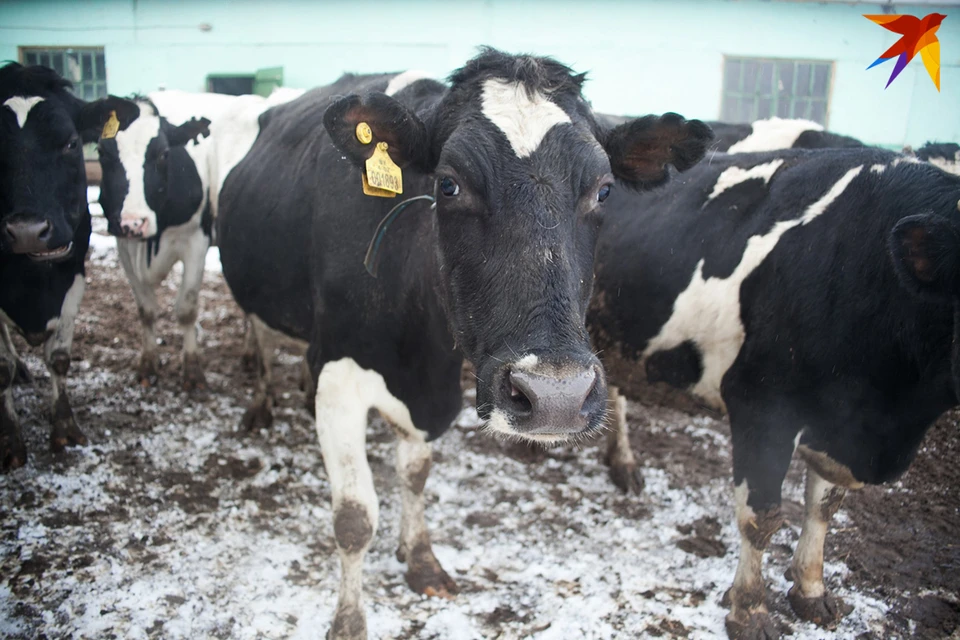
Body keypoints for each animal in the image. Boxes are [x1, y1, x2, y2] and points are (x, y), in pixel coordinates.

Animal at [0, 61, 137, 470]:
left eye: (71, 143)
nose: (27, 231)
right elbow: (1, 368)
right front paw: (11, 442)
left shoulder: (73, 273)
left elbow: (59, 358)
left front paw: (65, 429)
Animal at [216, 51, 712, 640]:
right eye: (449, 185)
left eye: (605, 189)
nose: (556, 396)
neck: (418, 353)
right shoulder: (339, 381)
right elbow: (355, 519)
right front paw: (349, 621)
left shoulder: (434, 391)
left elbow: (415, 475)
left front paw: (421, 559)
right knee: (260, 334)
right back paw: (262, 403)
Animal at [588, 149, 960, 640]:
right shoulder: (761, 406)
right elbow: (761, 517)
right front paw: (749, 611)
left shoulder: (837, 422)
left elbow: (824, 507)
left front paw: (812, 590)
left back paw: (623, 462)